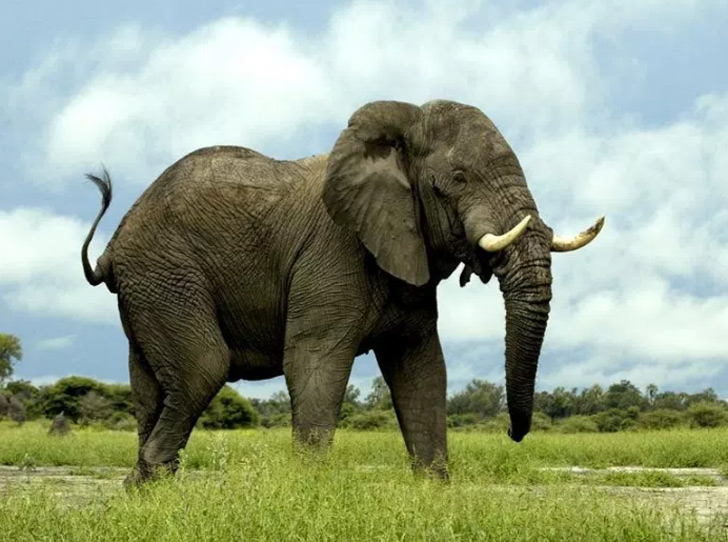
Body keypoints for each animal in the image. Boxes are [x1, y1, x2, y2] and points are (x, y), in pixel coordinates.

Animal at [81, 99, 603, 484]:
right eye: (458, 180)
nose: (513, 432)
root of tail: (114, 243)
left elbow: (423, 371)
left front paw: (434, 494)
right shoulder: (333, 252)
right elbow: (314, 363)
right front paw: (309, 496)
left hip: (150, 286)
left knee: (151, 385)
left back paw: (149, 496)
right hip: (165, 273)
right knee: (201, 370)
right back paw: (146, 487)